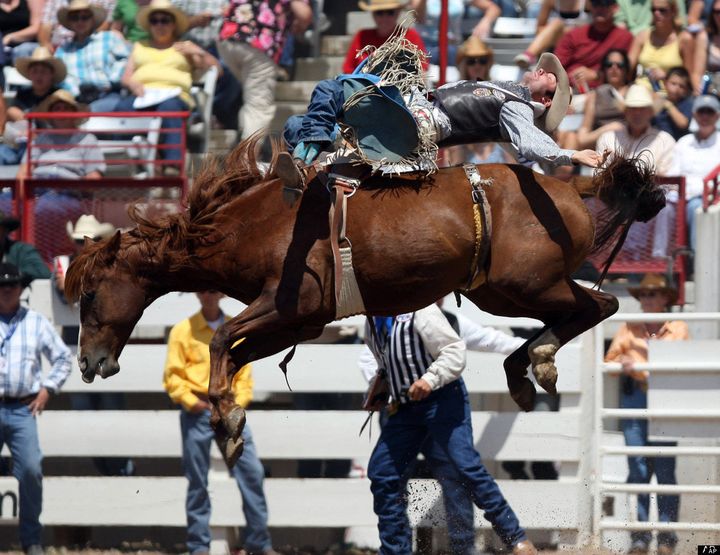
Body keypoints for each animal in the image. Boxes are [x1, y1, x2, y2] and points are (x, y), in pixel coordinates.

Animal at [63, 137, 664, 466]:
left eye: (90, 292)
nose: (89, 362)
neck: (250, 226)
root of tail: (568, 187)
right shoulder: (297, 323)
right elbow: (232, 352)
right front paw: (229, 425)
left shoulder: (289, 303)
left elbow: (219, 338)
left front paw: (228, 421)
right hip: (499, 291)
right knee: (583, 309)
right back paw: (523, 371)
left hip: (526, 285)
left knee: (600, 307)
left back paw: (536, 362)